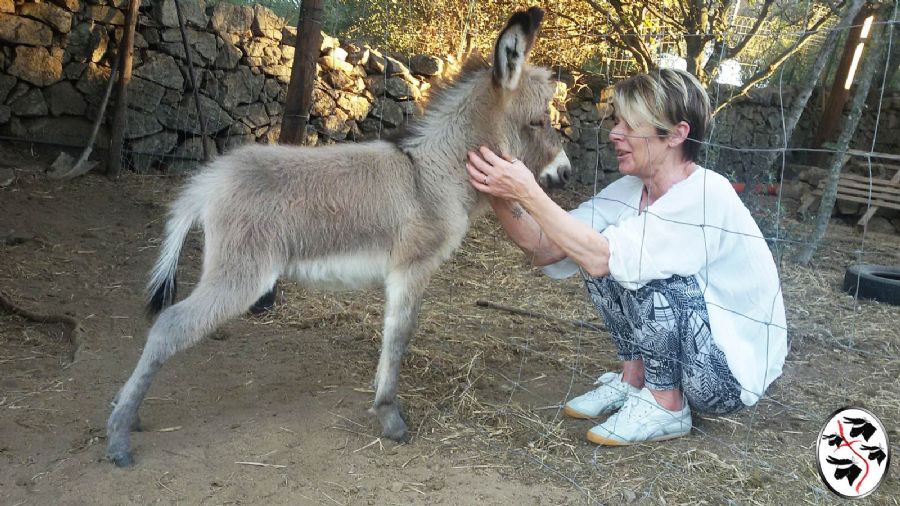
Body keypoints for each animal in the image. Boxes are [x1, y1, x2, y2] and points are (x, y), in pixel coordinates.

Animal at [107, 7, 568, 466]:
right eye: (537, 122)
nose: (564, 174)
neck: (431, 172)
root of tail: (210, 179)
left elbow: (393, 333)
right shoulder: (412, 266)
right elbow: (400, 335)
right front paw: (390, 416)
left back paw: (127, 415)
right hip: (241, 274)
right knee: (168, 326)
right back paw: (119, 436)